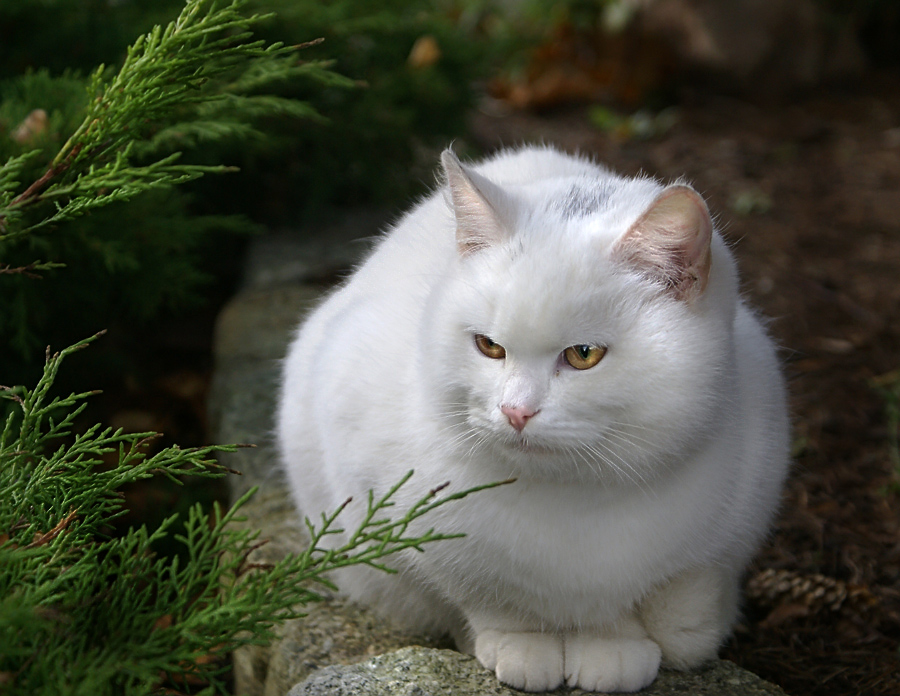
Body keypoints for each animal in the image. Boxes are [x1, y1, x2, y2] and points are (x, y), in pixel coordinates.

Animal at [278, 144, 792, 692]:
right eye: (488, 345)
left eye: (584, 355)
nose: (515, 410)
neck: (568, 502)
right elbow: (487, 596)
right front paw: (522, 644)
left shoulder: (728, 532)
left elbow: (672, 608)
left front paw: (613, 647)